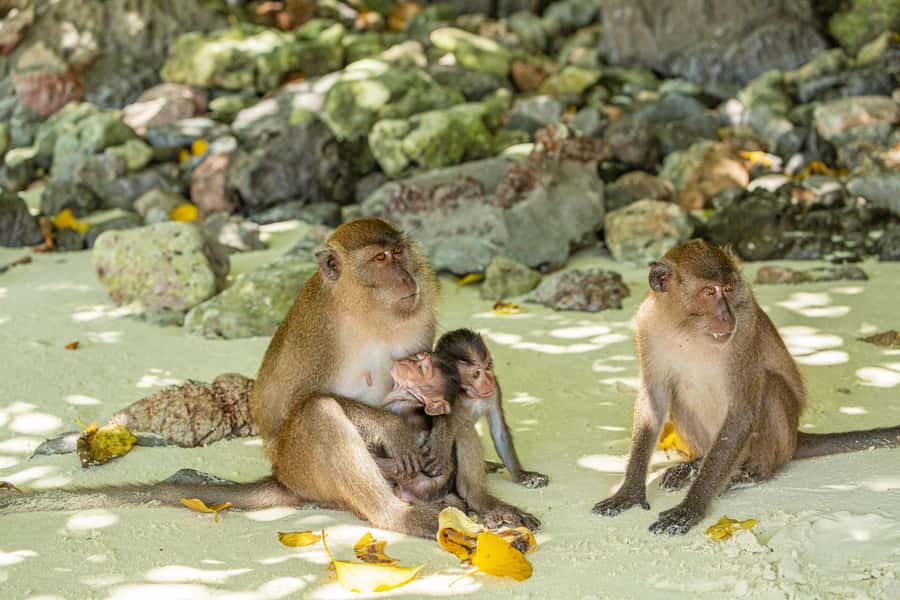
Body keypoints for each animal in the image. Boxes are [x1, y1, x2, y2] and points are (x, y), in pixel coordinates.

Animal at [592, 239, 900, 535]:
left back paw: (753, 473)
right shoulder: (647, 328)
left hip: (775, 443)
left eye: (728, 289)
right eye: (709, 292)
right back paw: (695, 463)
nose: (727, 318)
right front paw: (630, 490)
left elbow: (742, 411)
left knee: (769, 386)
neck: (686, 329)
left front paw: (691, 507)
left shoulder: (745, 329)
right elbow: (654, 401)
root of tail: (795, 438)